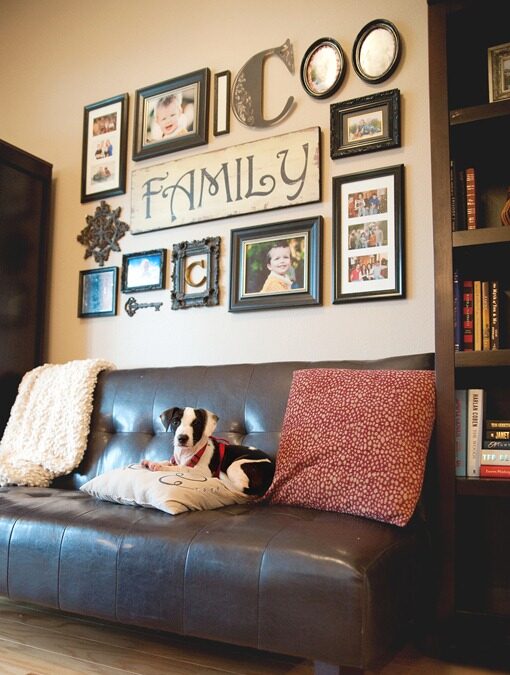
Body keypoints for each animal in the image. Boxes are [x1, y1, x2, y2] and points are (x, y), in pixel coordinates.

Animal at [139, 406, 274, 496]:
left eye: (196, 424)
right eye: (176, 422)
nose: (182, 438)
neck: (187, 453)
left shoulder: (202, 471)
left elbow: (182, 468)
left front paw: (159, 466)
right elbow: (169, 462)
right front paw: (152, 462)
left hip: (235, 466)